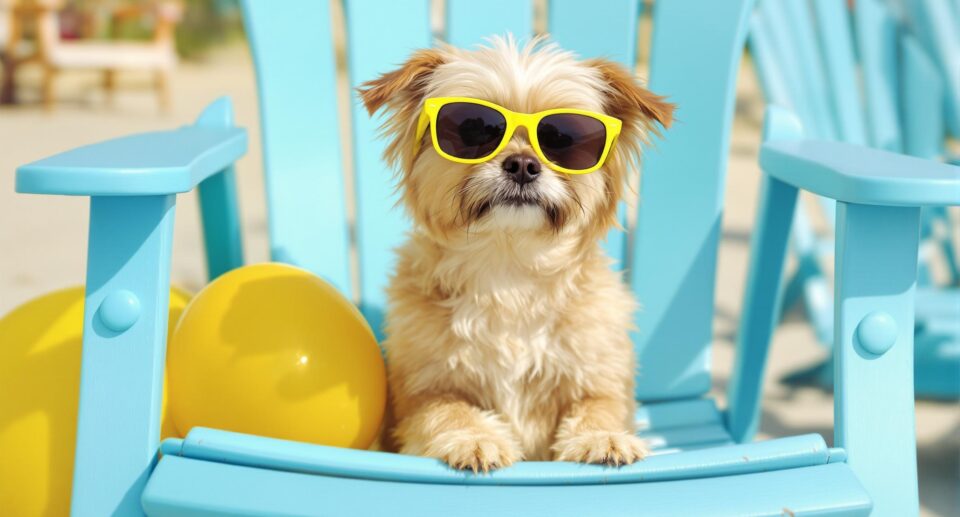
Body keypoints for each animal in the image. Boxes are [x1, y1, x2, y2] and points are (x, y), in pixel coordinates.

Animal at [360, 37, 676, 472]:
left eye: (563, 138)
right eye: (474, 130)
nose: (524, 164)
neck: (508, 268)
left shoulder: (599, 378)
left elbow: (598, 407)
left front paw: (600, 437)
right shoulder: (423, 391)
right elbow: (446, 411)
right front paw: (473, 438)